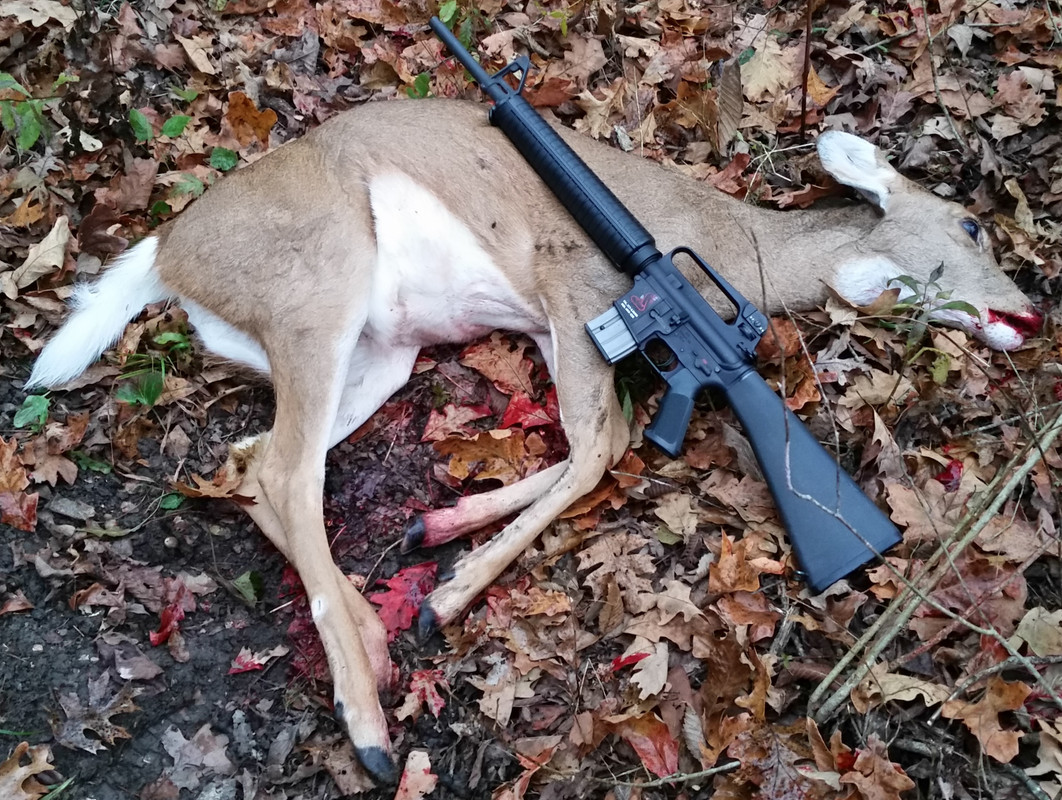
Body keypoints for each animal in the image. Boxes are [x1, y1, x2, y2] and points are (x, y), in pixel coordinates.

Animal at [24, 98, 1041, 783]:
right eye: (969, 220)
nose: (1030, 313)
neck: (731, 246)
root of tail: (164, 254)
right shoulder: (579, 287)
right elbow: (599, 445)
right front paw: (448, 595)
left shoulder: (574, 328)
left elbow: (610, 440)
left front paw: (438, 537)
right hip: (320, 288)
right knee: (283, 470)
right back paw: (371, 727)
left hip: (381, 352)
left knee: (248, 466)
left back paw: (379, 631)